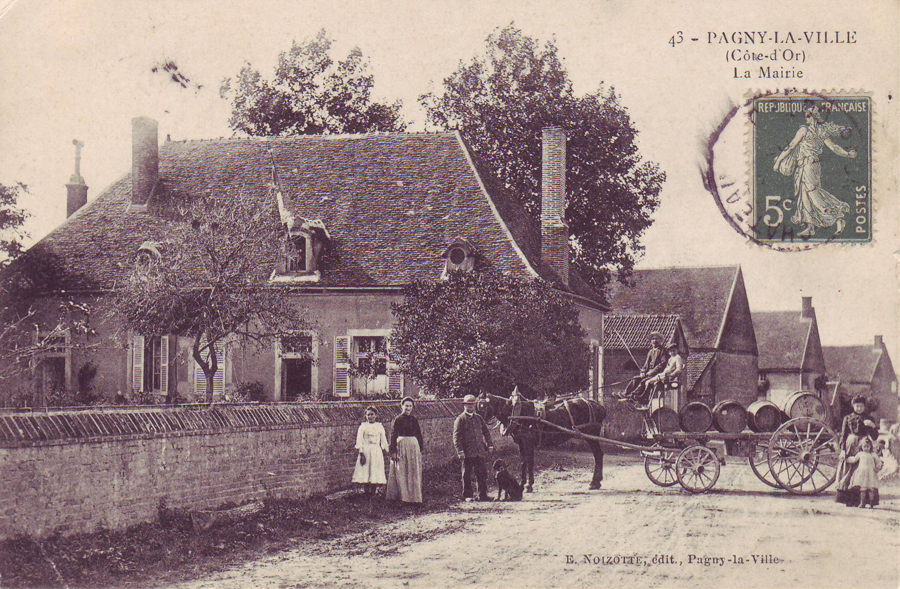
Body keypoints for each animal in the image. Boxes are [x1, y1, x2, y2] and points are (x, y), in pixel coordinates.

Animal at [474, 392, 608, 490]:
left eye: (481, 406)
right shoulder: (521, 443)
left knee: (598, 455)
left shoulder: (528, 443)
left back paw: (594, 482)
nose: (477, 420)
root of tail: (598, 405)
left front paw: (529, 485)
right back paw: (597, 482)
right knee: (599, 455)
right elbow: (523, 462)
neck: (516, 412)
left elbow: (530, 462)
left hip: (591, 436)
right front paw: (522, 484)